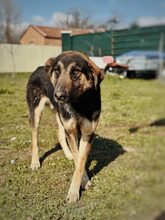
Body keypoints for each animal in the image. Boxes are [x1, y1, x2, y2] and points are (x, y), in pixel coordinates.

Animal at [26, 50, 104, 202]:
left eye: (76, 71)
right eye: (57, 71)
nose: (58, 95)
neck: (79, 103)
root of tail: (39, 68)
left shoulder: (87, 133)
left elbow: (80, 161)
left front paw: (79, 186)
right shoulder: (72, 131)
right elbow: (78, 158)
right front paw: (76, 189)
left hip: (61, 116)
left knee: (60, 135)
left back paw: (68, 154)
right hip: (36, 113)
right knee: (34, 138)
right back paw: (35, 162)